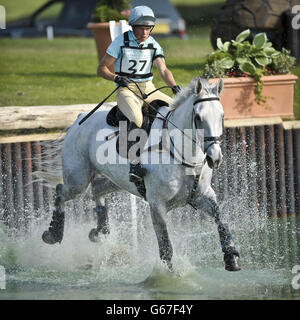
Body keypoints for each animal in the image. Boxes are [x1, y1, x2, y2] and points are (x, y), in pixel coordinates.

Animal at [41, 76, 241, 272]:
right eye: (198, 118)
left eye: (222, 116)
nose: (215, 158)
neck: (181, 153)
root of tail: (79, 118)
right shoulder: (157, 204)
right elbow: (165, 246)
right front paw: (167, 276)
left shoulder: (203, 195)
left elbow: (221, 220)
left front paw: (231, 257)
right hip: (78, 180)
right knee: (61, 191)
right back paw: (53, 233)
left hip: (117, 180)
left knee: (97, 189)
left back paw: (100, 231)